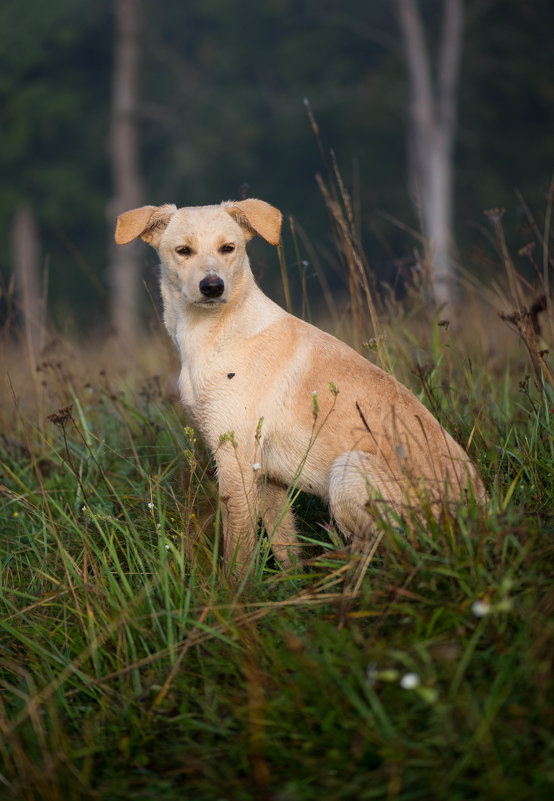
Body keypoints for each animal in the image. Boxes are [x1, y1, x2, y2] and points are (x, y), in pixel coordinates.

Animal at [114, 200, 486, 572]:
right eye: (183, 251)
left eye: (228, 248)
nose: (212, 286)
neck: (217, 332)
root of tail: (479, 515)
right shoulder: (267, 478)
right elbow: (285, 546)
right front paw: (290, 582)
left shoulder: (235, 463)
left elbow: (238, 553)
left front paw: (237, 588)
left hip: (348, 471)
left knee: (378, 554)